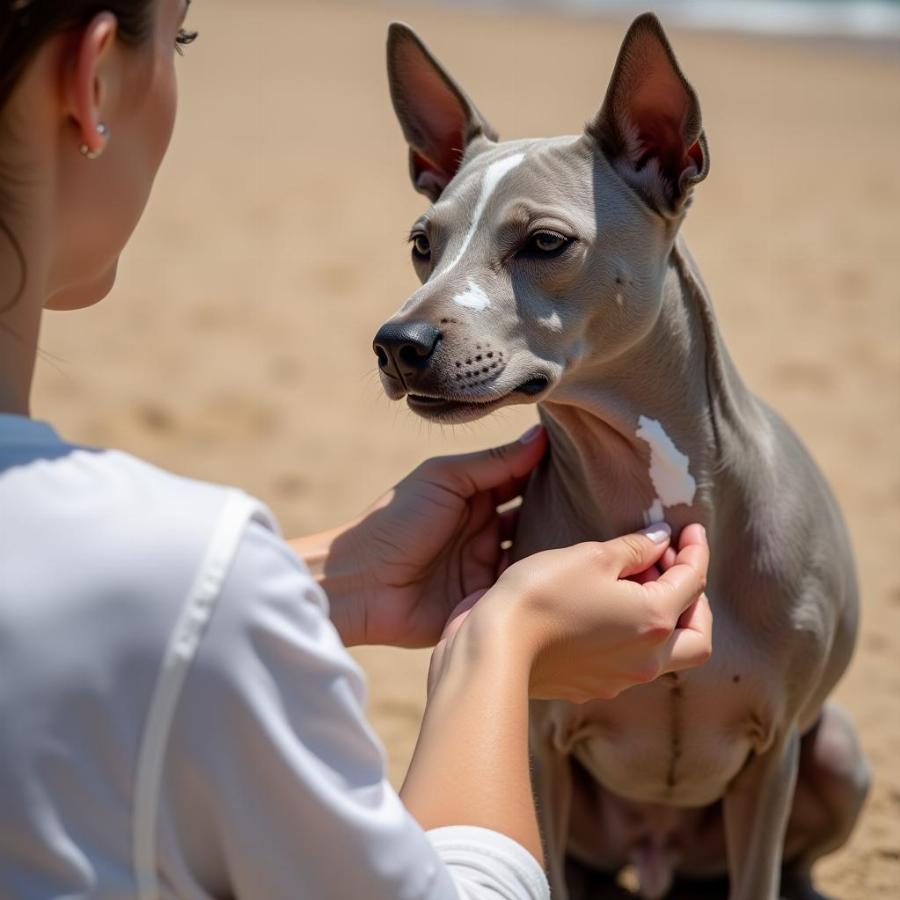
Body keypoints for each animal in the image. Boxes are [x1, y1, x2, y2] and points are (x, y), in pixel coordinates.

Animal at [370, 15, 864, 900]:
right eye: (423, 243)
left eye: (544, 241)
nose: (398, 343)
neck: (654, 487)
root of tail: (657, 857)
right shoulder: (540, 746)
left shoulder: (772, 755)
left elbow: (761, 869)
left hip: (835, 751)